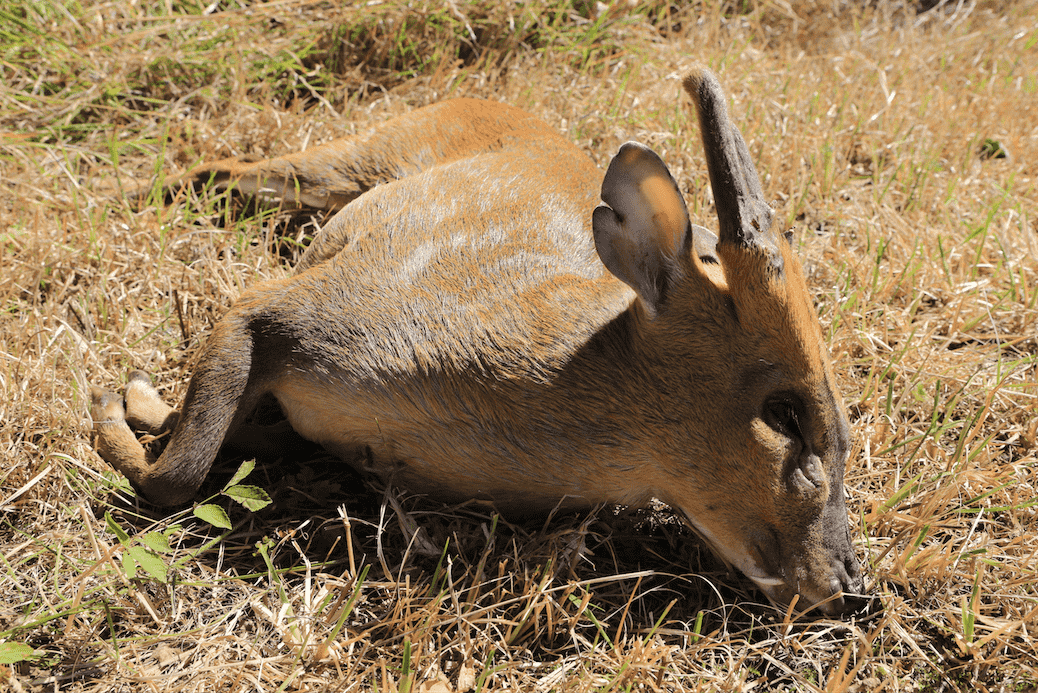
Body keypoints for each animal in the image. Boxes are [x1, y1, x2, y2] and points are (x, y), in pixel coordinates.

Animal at [91, 67, 867, 614]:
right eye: (785, 412)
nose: (844, 584)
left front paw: (139, 404)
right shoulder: (276, 308)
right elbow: (174, 475)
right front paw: (113, 402)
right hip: (345, 161)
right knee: (218, 170)